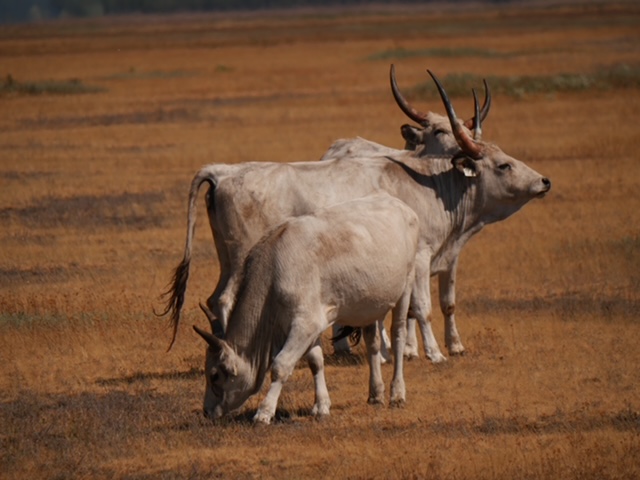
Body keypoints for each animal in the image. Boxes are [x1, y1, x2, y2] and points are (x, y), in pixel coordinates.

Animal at [192, 193, 418, 422]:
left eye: (214, 375)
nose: (206, 411)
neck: (274, 270)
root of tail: (400, 205)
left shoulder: (305, 324)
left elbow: (281, 365)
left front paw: (264, 412)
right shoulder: (311, 326)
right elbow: (316, 362)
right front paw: (321, 406)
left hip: (406, 287)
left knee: (398, 335)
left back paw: (397, 393)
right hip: (367, 306)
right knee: (372, 342)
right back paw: (375, 394)